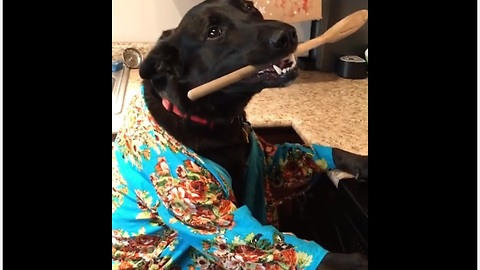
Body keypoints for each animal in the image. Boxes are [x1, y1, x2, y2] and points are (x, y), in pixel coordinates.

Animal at [115, 0, 368, 268]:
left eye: (249, 7)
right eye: (213, 32)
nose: (288, 34)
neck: (208, 120)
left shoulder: (269, 161)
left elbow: (314, 153)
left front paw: (361, 162)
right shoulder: (205, 215)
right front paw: (356, 261)